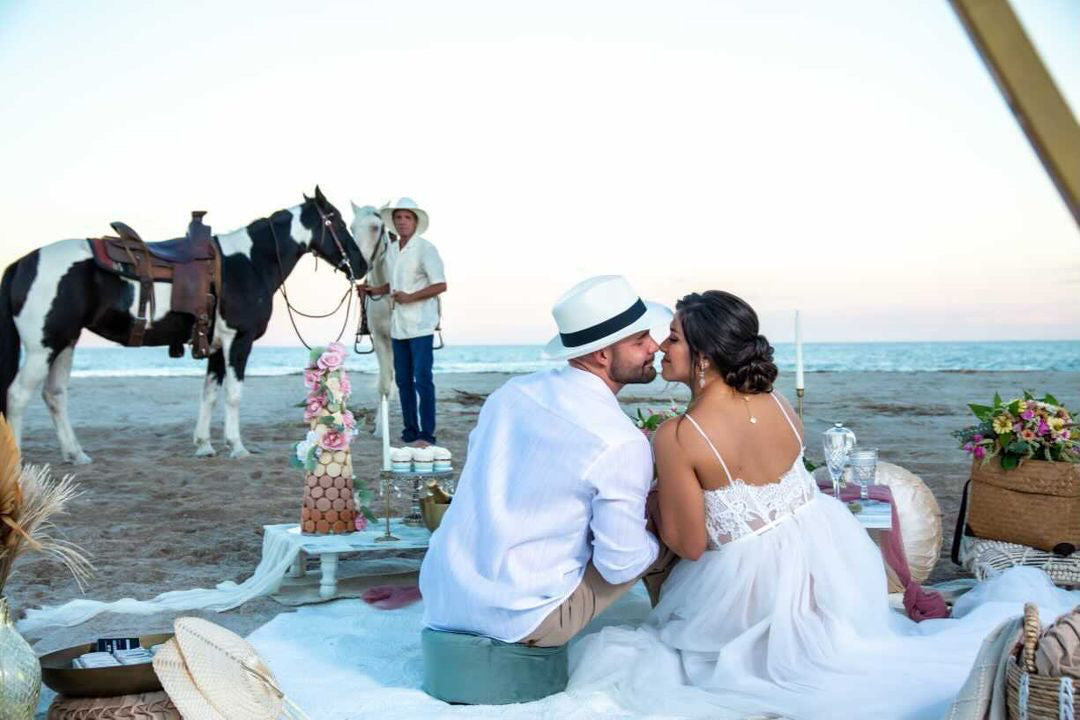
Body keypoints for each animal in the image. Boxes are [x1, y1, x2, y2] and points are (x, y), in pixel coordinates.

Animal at [0, 188, 365, 464]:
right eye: (336, 220)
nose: (361, 265)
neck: (248, 263)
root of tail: (22, 263)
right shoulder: (238, 341)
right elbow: (233, 395)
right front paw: (237, 447)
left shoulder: (216, 347)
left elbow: (209, 394)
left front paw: (204, 445)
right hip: (43, 346)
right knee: (17, 395)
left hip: (65, 341)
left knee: (54, 395)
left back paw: (77, 454)